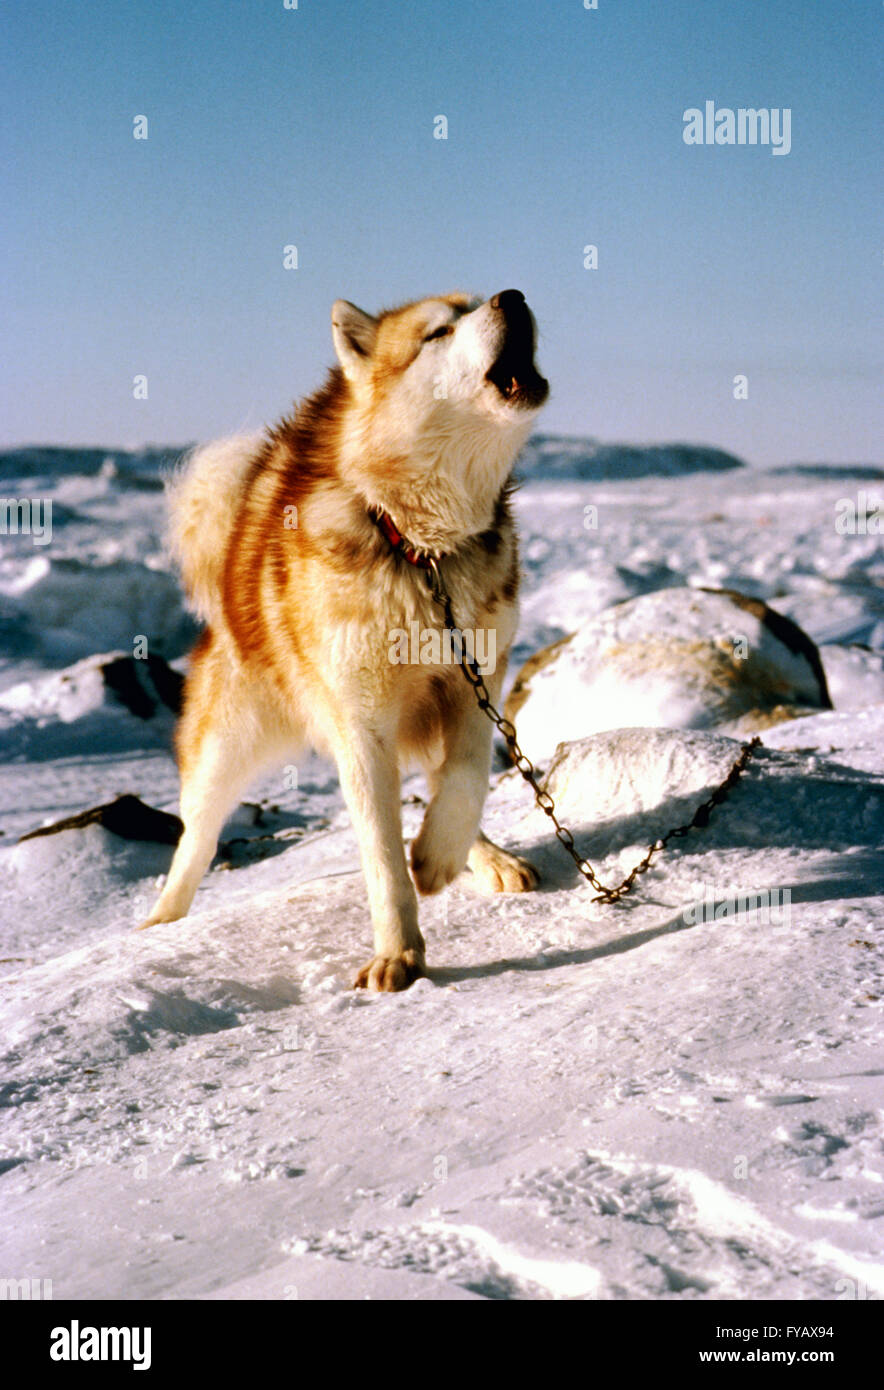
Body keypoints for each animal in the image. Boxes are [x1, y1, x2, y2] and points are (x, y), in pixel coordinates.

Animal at [140, 287, 544, 984]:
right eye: (439, 332)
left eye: (475, 304)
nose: (513, 296)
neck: (417, 548)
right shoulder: (361, 723)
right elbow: (381, 853)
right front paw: (398, 954)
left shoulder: (474, 685)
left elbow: (464, 778)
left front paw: (439, 857)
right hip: (229, 744)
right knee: (197, 836)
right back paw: (162, 922)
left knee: (441, 779)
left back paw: (483, 857)